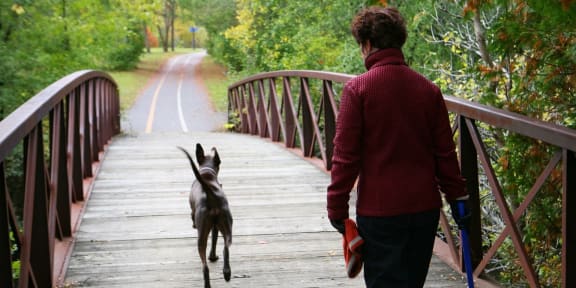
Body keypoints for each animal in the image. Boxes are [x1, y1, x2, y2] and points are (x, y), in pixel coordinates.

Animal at [178, 144, 232, 288]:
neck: (207, 175)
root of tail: (210, 193)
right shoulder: (216, 226)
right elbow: (215, 241)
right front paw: (213, 257)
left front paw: (212, 257)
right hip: (227, 225)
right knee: (226, 247)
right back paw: (227, 273)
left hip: (202, 235)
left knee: (205, 267)